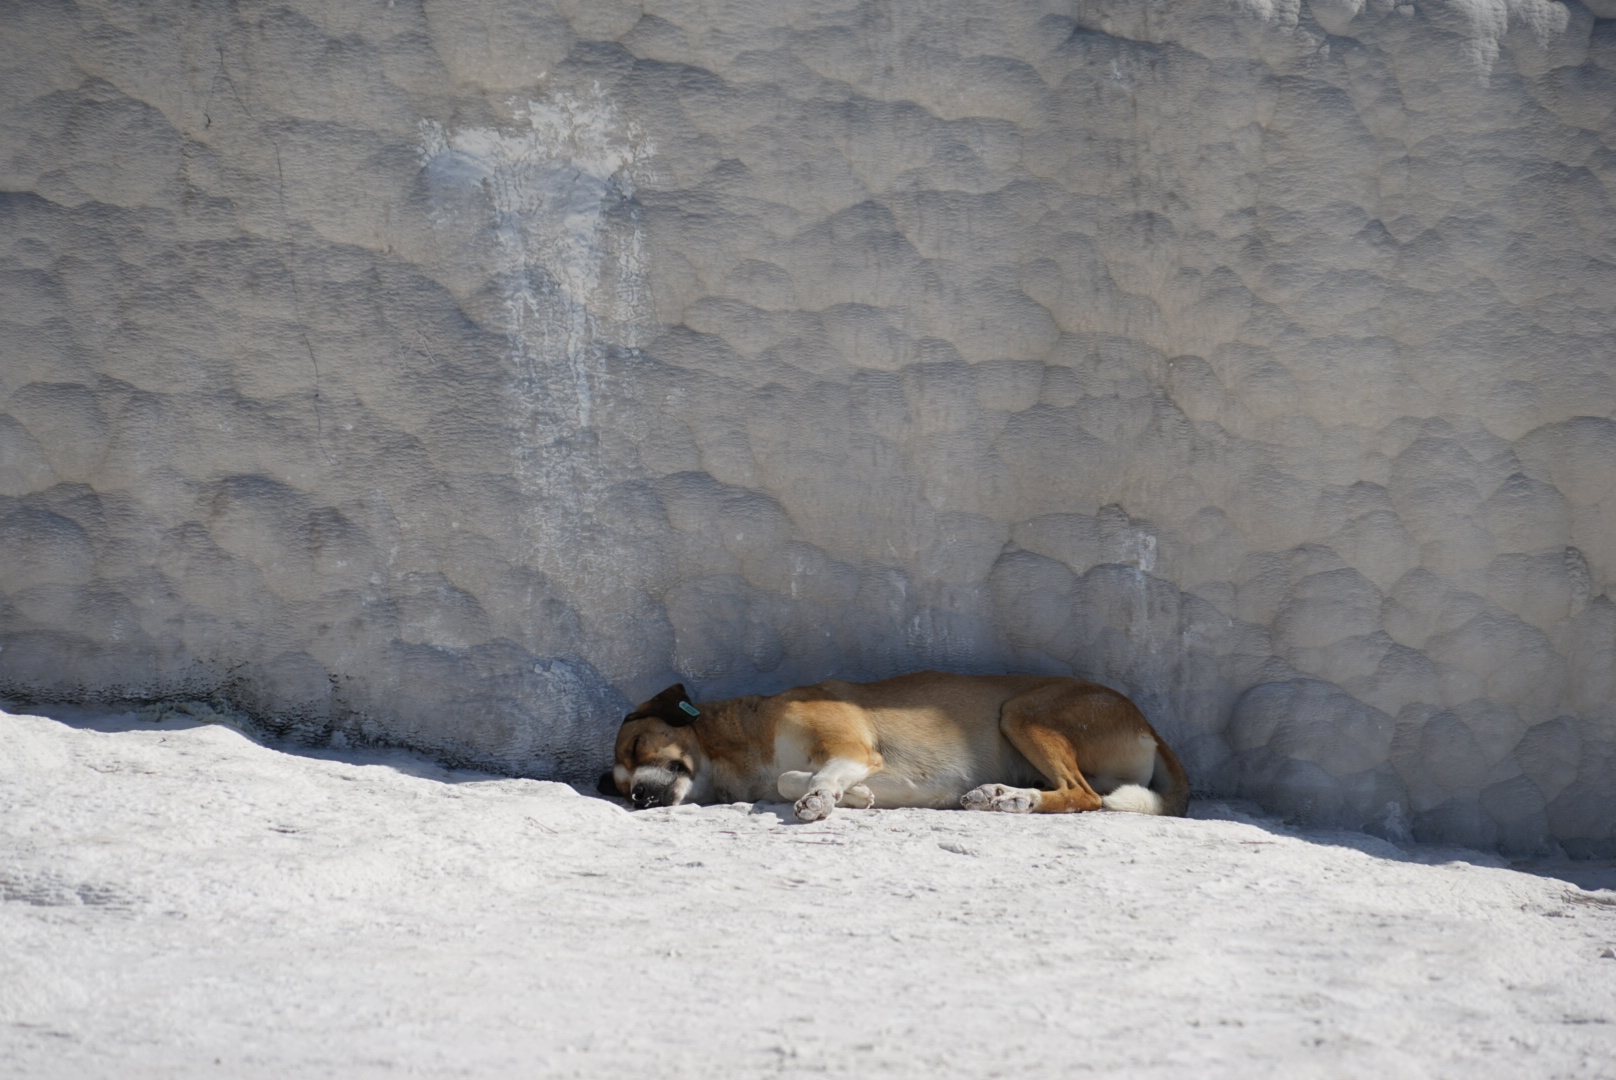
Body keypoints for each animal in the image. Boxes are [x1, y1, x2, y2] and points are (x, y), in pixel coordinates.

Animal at [601, 669, 1195, 821]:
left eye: (637, 745)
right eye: (620, 786)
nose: (639, 798)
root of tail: (1149, 725)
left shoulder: (853, 747)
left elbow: (812, 776)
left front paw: (822, 798)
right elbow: (794, 778)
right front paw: (855, 796)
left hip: (1021, 710)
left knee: (1084, 794)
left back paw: (1008, 798)